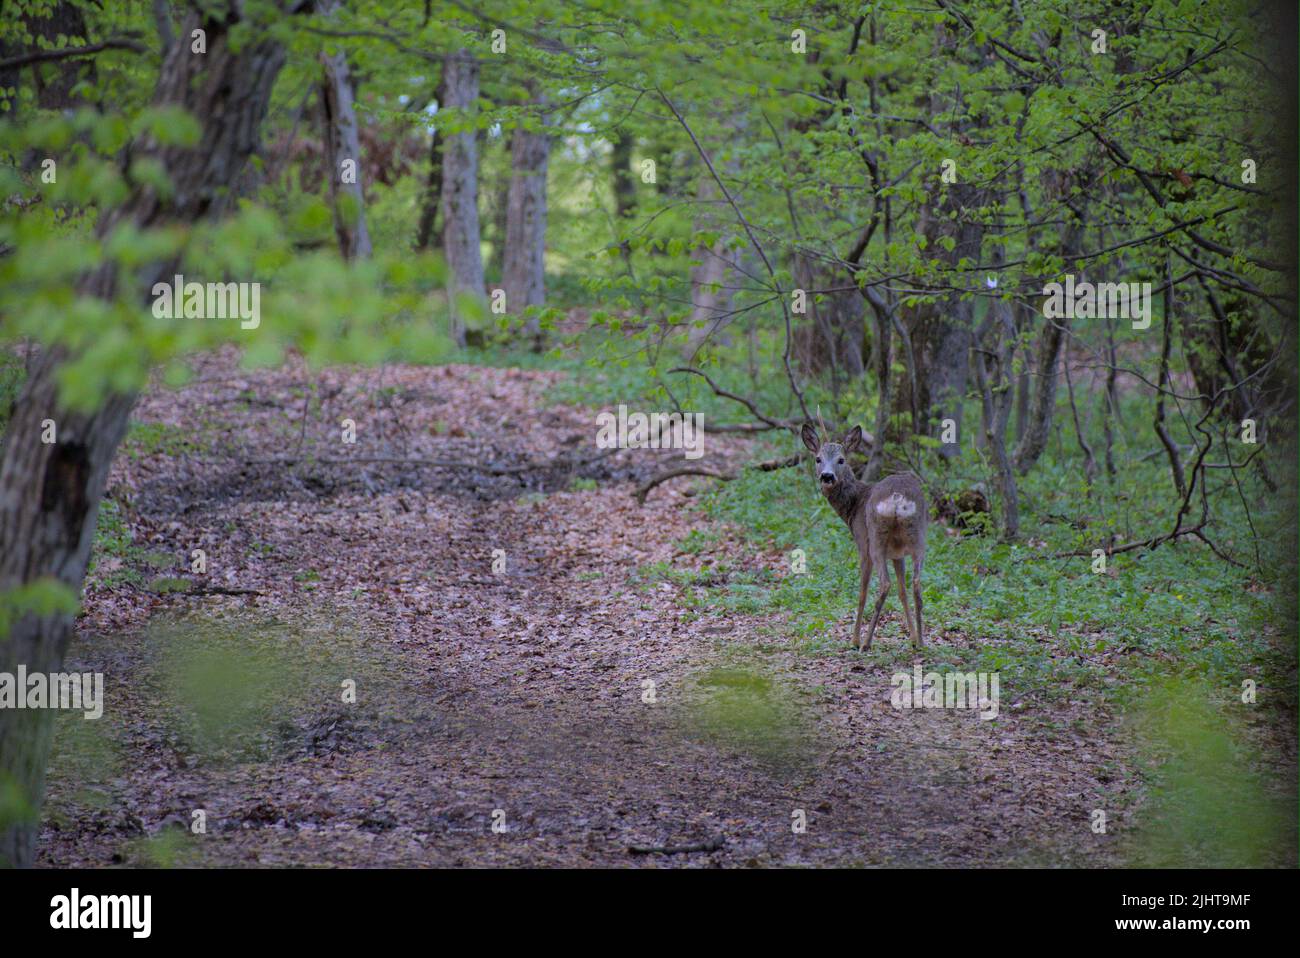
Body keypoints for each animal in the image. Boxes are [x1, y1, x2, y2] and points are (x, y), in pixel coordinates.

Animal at [795, 423, 930, 649]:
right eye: (818, 459)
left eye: (841, 459)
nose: (827, 476)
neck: (854, 505)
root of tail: (897, 499)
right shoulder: (898, 553)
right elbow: (902, 592)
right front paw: (912, 636)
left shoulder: (862, 543)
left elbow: (862, 593)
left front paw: (854, 639)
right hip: (918, 537)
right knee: (916, 584)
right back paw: (920, 642)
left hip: (875, 539)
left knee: (884, 584)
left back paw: (866, 643)